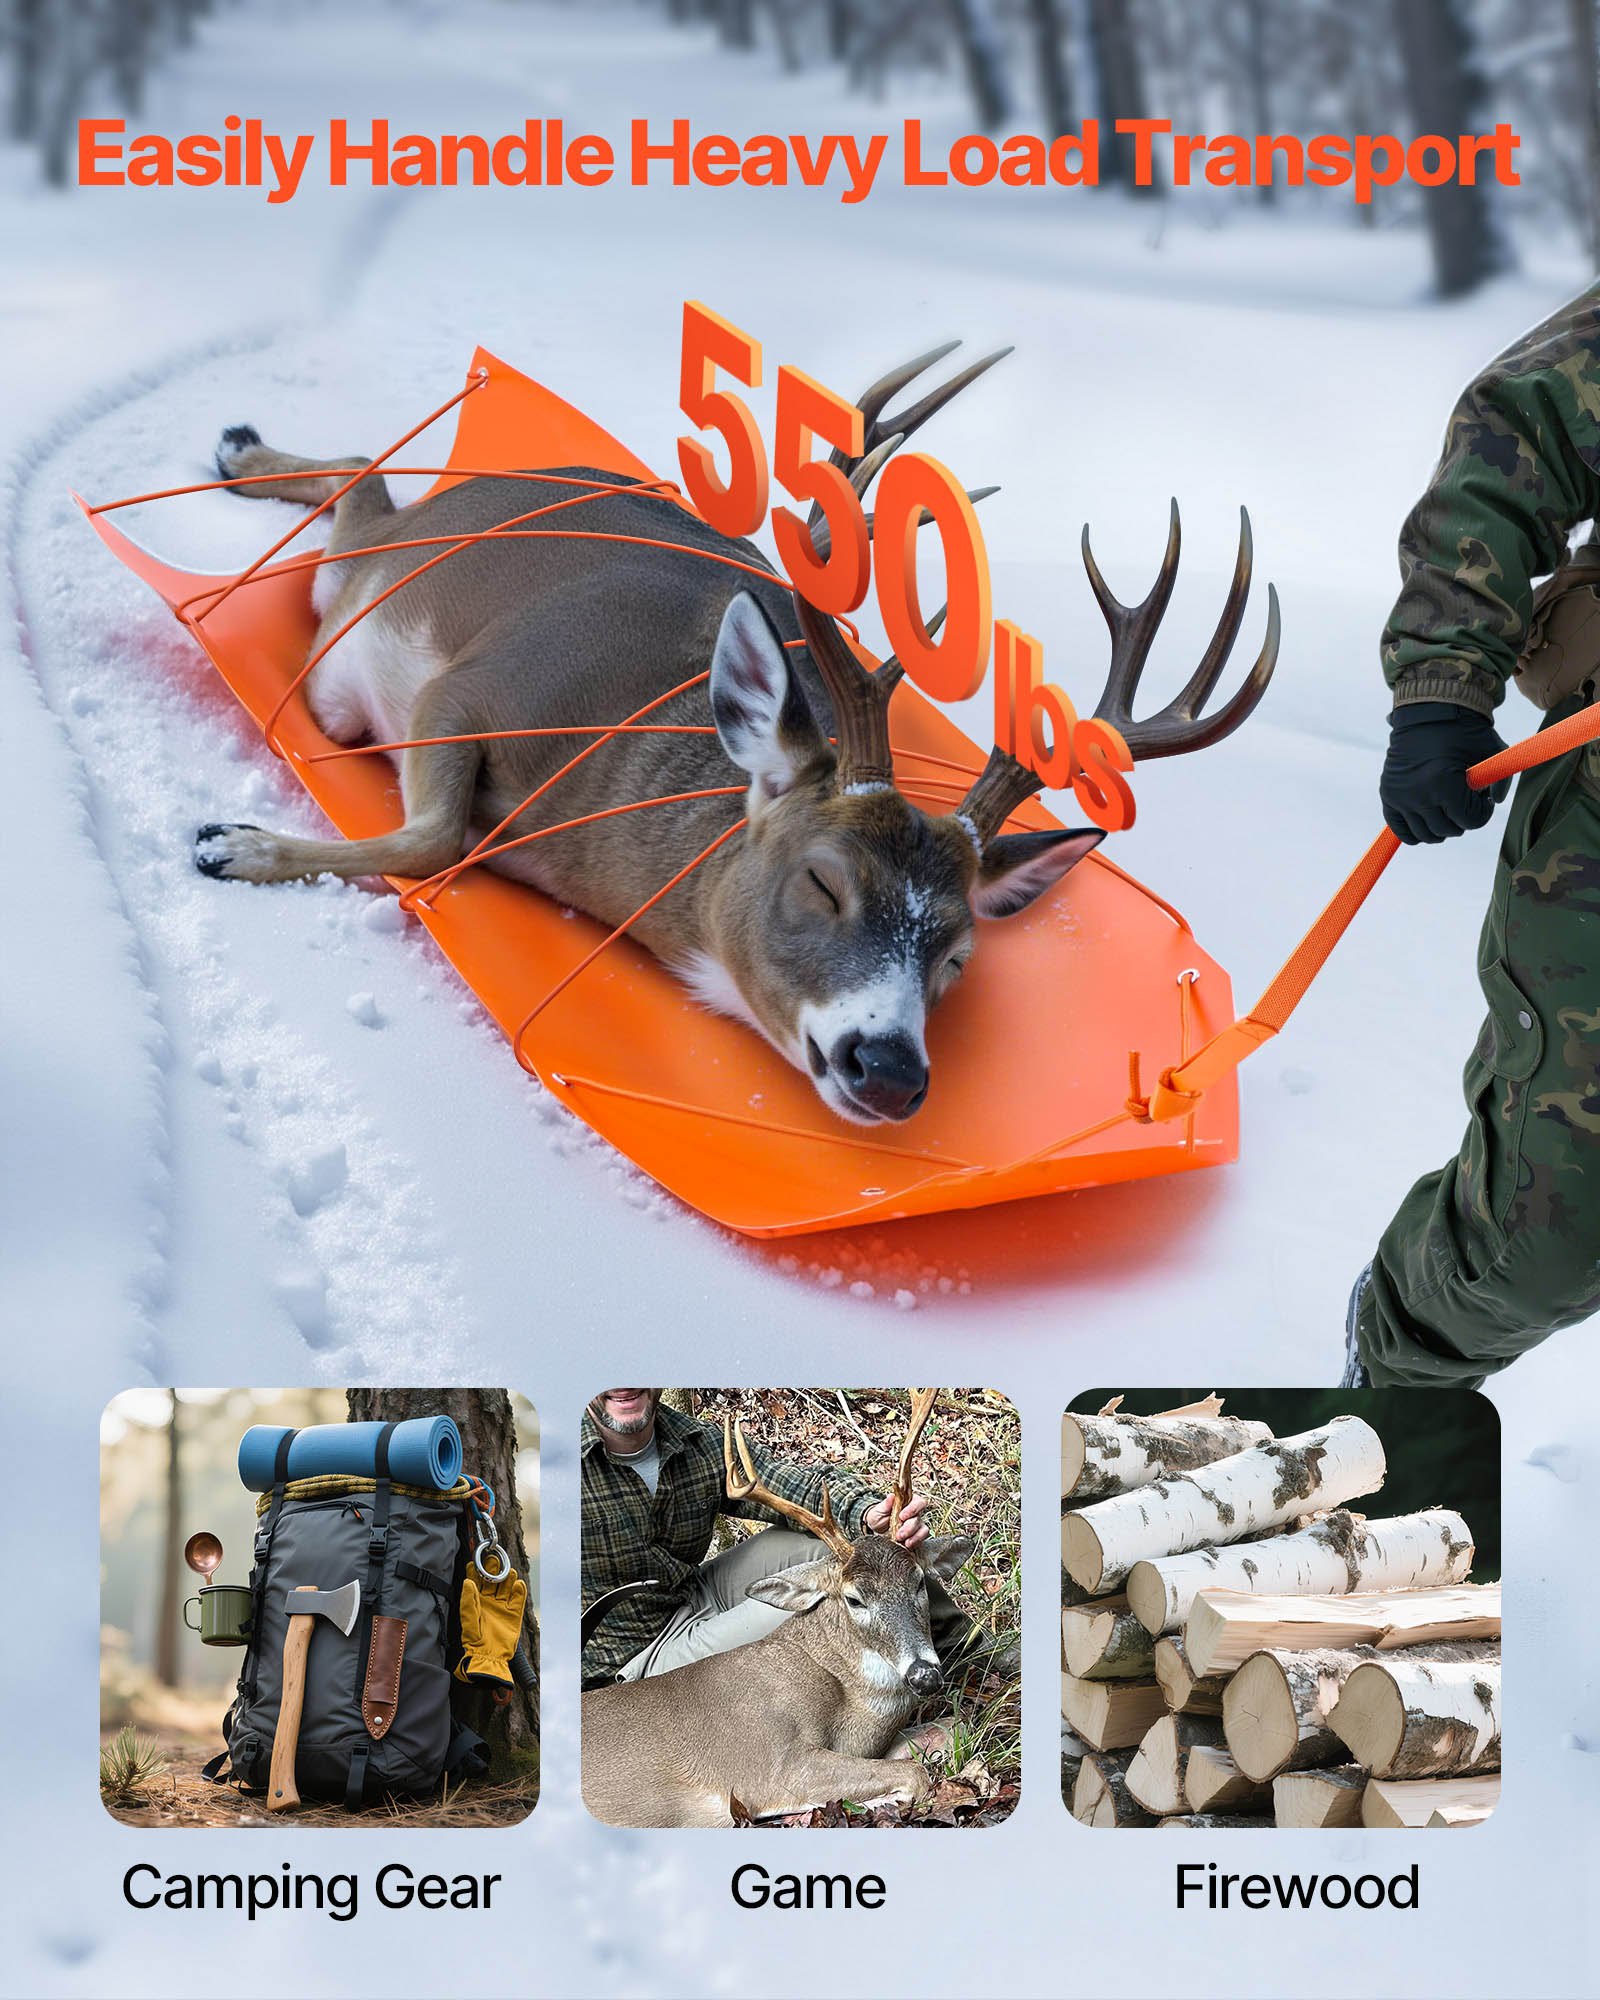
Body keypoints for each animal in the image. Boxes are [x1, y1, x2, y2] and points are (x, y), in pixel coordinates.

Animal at [195, 344, 1278, 1124]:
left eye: (958, 954)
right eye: (823, 881)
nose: (888, 1069)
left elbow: (433, 837)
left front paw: (241, 845)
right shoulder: (473, 687)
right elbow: (433, 838)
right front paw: (233, 846)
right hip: (374, 598)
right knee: (362, 484)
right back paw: (240, 448)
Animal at [580, 1389, 977, 1827]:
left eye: (919, 1582)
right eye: (854, 1598)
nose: (924, 1675)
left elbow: (955, 1727)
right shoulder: (772, 1763)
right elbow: (915, 1773)